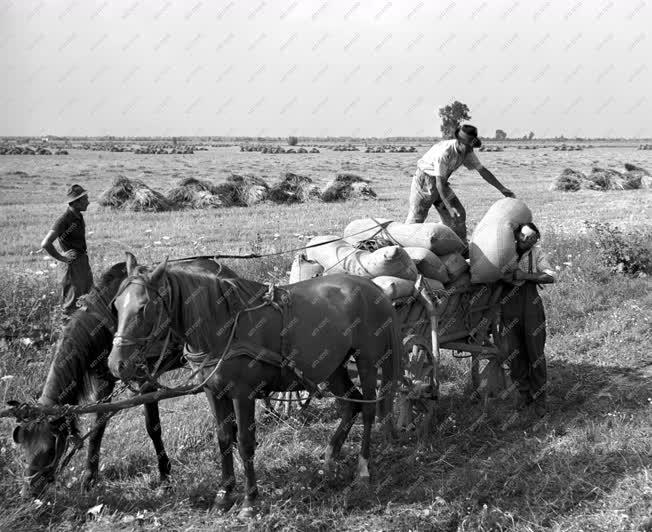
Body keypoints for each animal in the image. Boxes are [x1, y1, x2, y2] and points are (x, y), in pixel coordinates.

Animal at [11, 256, 237, 496]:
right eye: (23, 447)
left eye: (50, 449)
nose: (29, 492)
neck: (105, 322)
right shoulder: (105, 380)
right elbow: (98, 426)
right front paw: (89, 477)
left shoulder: (146, 378)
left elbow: (153, 427)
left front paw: (165, 475)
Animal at [107, 251, 402, 516]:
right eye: (116, 305)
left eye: (144, 307)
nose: (116, 364)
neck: (222, 325)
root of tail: (373, 288)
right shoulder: (214, 392)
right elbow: (224, 439)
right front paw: (224, 495)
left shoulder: (242, 393)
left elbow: (245, 442)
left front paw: (249, 502)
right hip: (331, 366)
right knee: (351, 404)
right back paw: (330, 456)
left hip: (367, 360)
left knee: (368, 408)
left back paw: (363, 469)